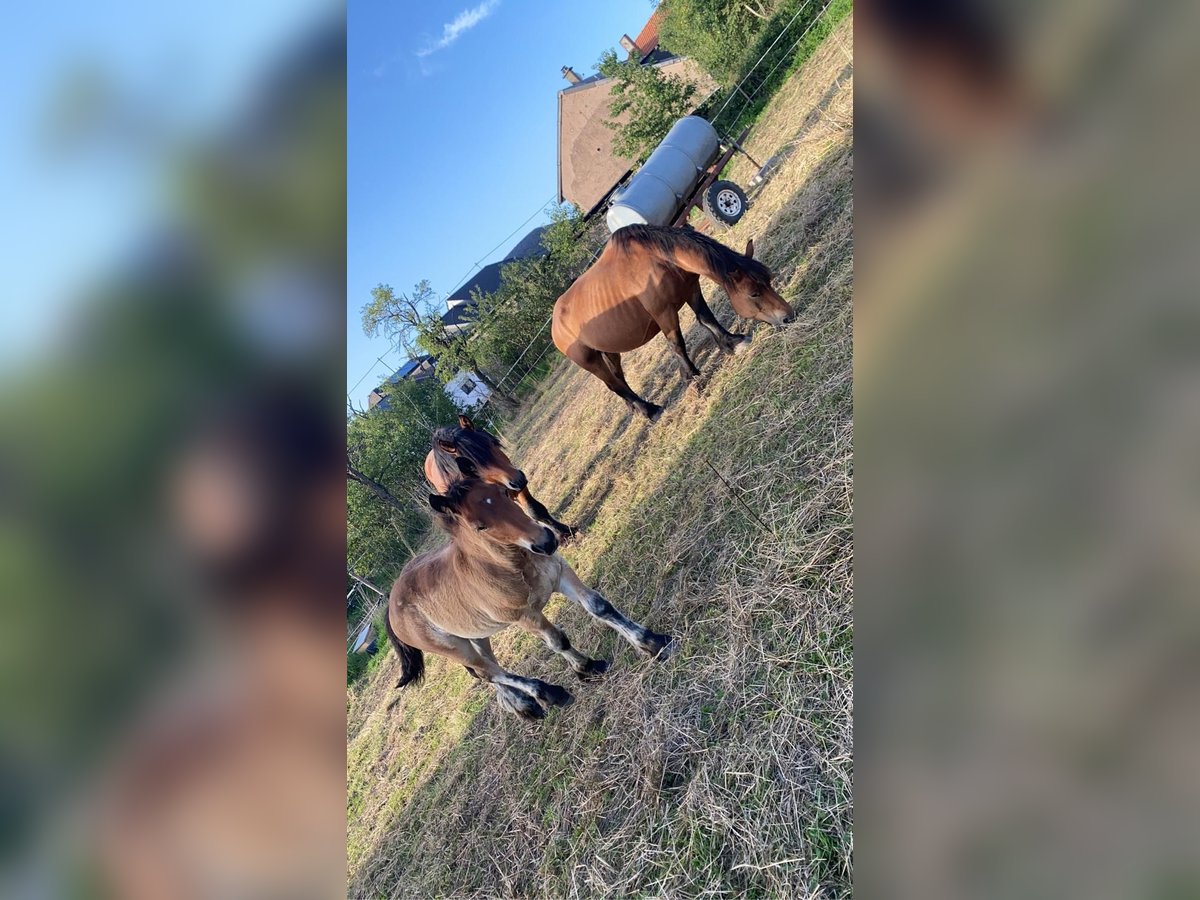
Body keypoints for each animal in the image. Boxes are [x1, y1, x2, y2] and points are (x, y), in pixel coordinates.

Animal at [381, 482, 672, 724]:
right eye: (479, 526)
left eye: (505, 494)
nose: (546, 541)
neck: (508, 565)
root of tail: (392, 603)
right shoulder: (526, 617)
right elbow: (558, 641)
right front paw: (586, 668)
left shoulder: (560, 573)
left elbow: (599, 607)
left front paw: (653, 643)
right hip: (453, 647)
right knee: (488, 671)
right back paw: (547, 693)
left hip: (475, 634)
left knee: (485, 671)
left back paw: (524, 707)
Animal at [552, 225, 796, 422]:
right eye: (754, 293)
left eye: (768, 280)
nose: (788, 316)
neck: (658, 259)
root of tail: (555, 323)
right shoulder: (664, 313)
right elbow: (677, 344)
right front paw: (691, 377)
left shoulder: (690, 289)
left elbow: (706, 319)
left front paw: (733, 343)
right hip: (590, 360)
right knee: (613, 384)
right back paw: (651, 411)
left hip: (609, 350)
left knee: (618, 379)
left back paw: (636, 409)